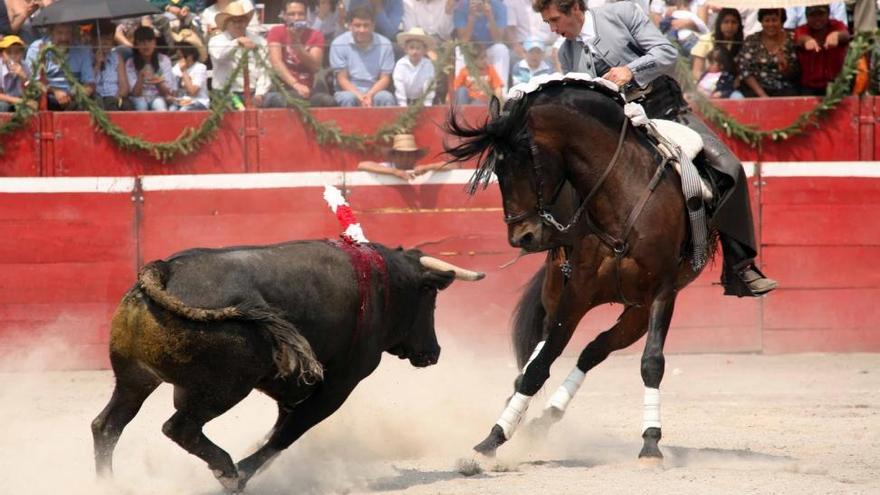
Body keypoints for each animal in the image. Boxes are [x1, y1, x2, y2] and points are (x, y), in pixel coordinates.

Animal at [91, 240, 482, 492]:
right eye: (430, 298)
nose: (433, 351)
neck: (382, 283)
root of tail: (163, 269)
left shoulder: (293, 387)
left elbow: (281, 427)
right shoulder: (340, 384)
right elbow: (289, 433)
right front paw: (241, 472)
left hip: (134, 378)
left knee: (107, 426)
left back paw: (108, 484)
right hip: (226, 387)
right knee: (179, 428)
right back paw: (228, 471)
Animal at [446, 80, 716, 464]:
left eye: (526, 160)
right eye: (497, 169)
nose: (522, 236)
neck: (623, 195)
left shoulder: (662, 293)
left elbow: (652, 362)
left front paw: (651, 443)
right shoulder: (577, 292)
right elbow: (538, 365)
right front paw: (493, 438)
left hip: (636, 312)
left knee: (594, 350)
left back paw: (545, 417)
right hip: (558, 289)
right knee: (547, 351)